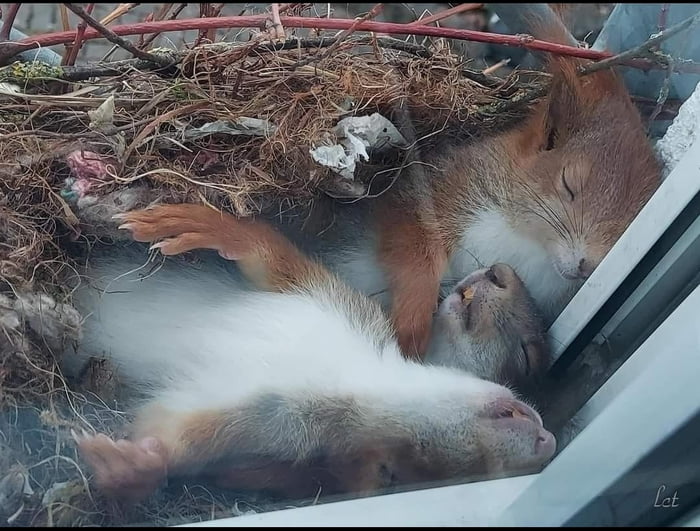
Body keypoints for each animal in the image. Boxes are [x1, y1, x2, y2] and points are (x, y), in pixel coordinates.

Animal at [69, 203, 552, 502]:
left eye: (397, 472)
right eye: (525, 358)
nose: (547, 441)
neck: (356, 375)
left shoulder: (264, 424)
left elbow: (173, 435)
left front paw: (133, 467)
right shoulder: (333, 300)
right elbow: (270, 257)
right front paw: (204, 224)